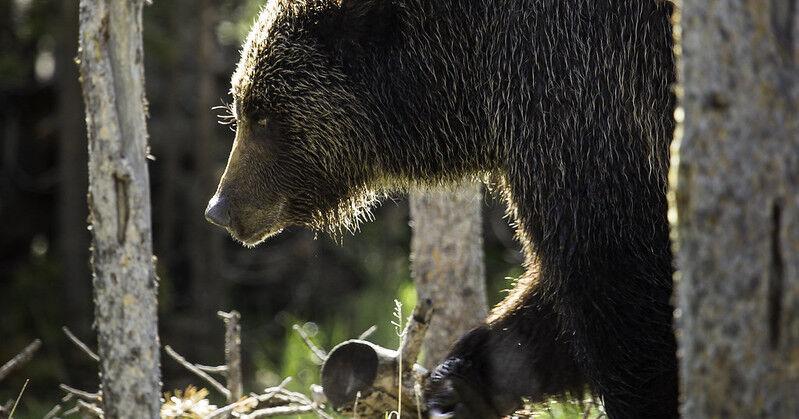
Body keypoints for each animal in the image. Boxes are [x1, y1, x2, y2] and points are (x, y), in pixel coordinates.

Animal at [205, 1, 678, 417]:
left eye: (261, 113)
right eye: (240, 104)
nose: (220, 208)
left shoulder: (583, 104)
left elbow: (617, 282)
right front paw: (456, 386)